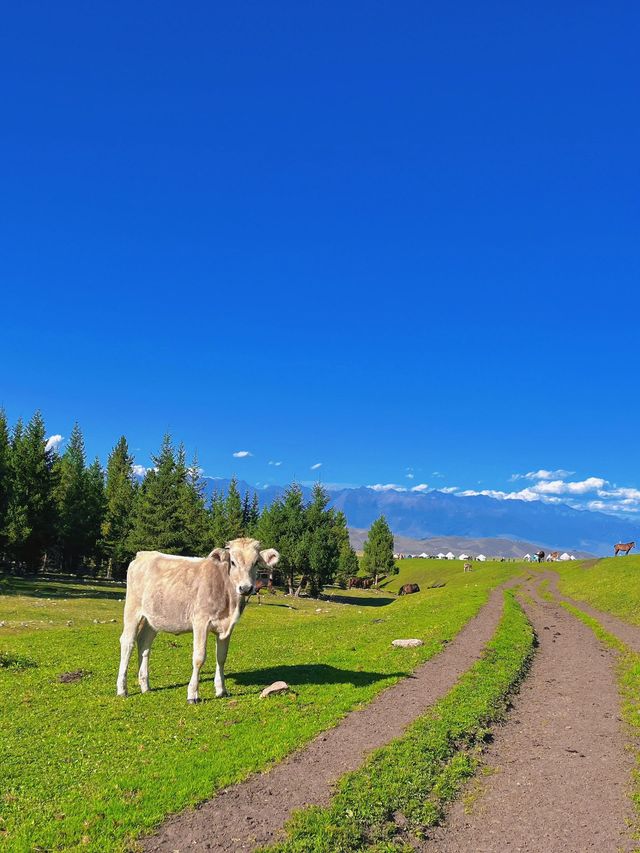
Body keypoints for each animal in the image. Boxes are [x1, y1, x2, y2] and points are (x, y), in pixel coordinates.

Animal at [116, 540, 278, 700]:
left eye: (256, 562)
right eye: (232, 562)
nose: (245, 588)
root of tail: (143, 554)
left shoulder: (227, 626)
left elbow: (221, 657)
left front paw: (221, 690)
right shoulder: (201, 621)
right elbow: (199, 657)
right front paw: (192, 694)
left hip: (153, 618)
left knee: (144, 643)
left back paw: (145, 686)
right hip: (132, 609)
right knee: (127, 642)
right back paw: (122, 689)